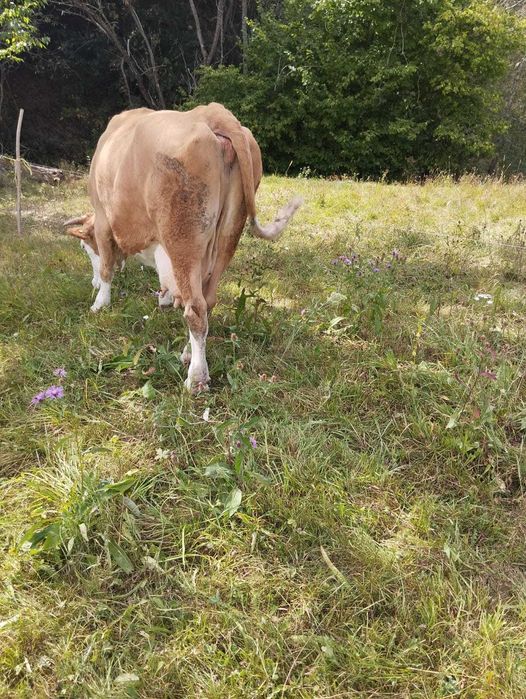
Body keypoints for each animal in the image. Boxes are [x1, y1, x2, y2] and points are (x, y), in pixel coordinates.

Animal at [65, 103, 301, 392]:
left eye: (85, 248)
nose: (92, 283)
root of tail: (215, 114)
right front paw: (165, 297)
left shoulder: (102, 218)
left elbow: (107, 266)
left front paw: (100, 301)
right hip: (227, 235)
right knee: (207, 301)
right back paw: (188, 353)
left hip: (183, 239)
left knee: (196, 309)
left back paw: (196, 377)